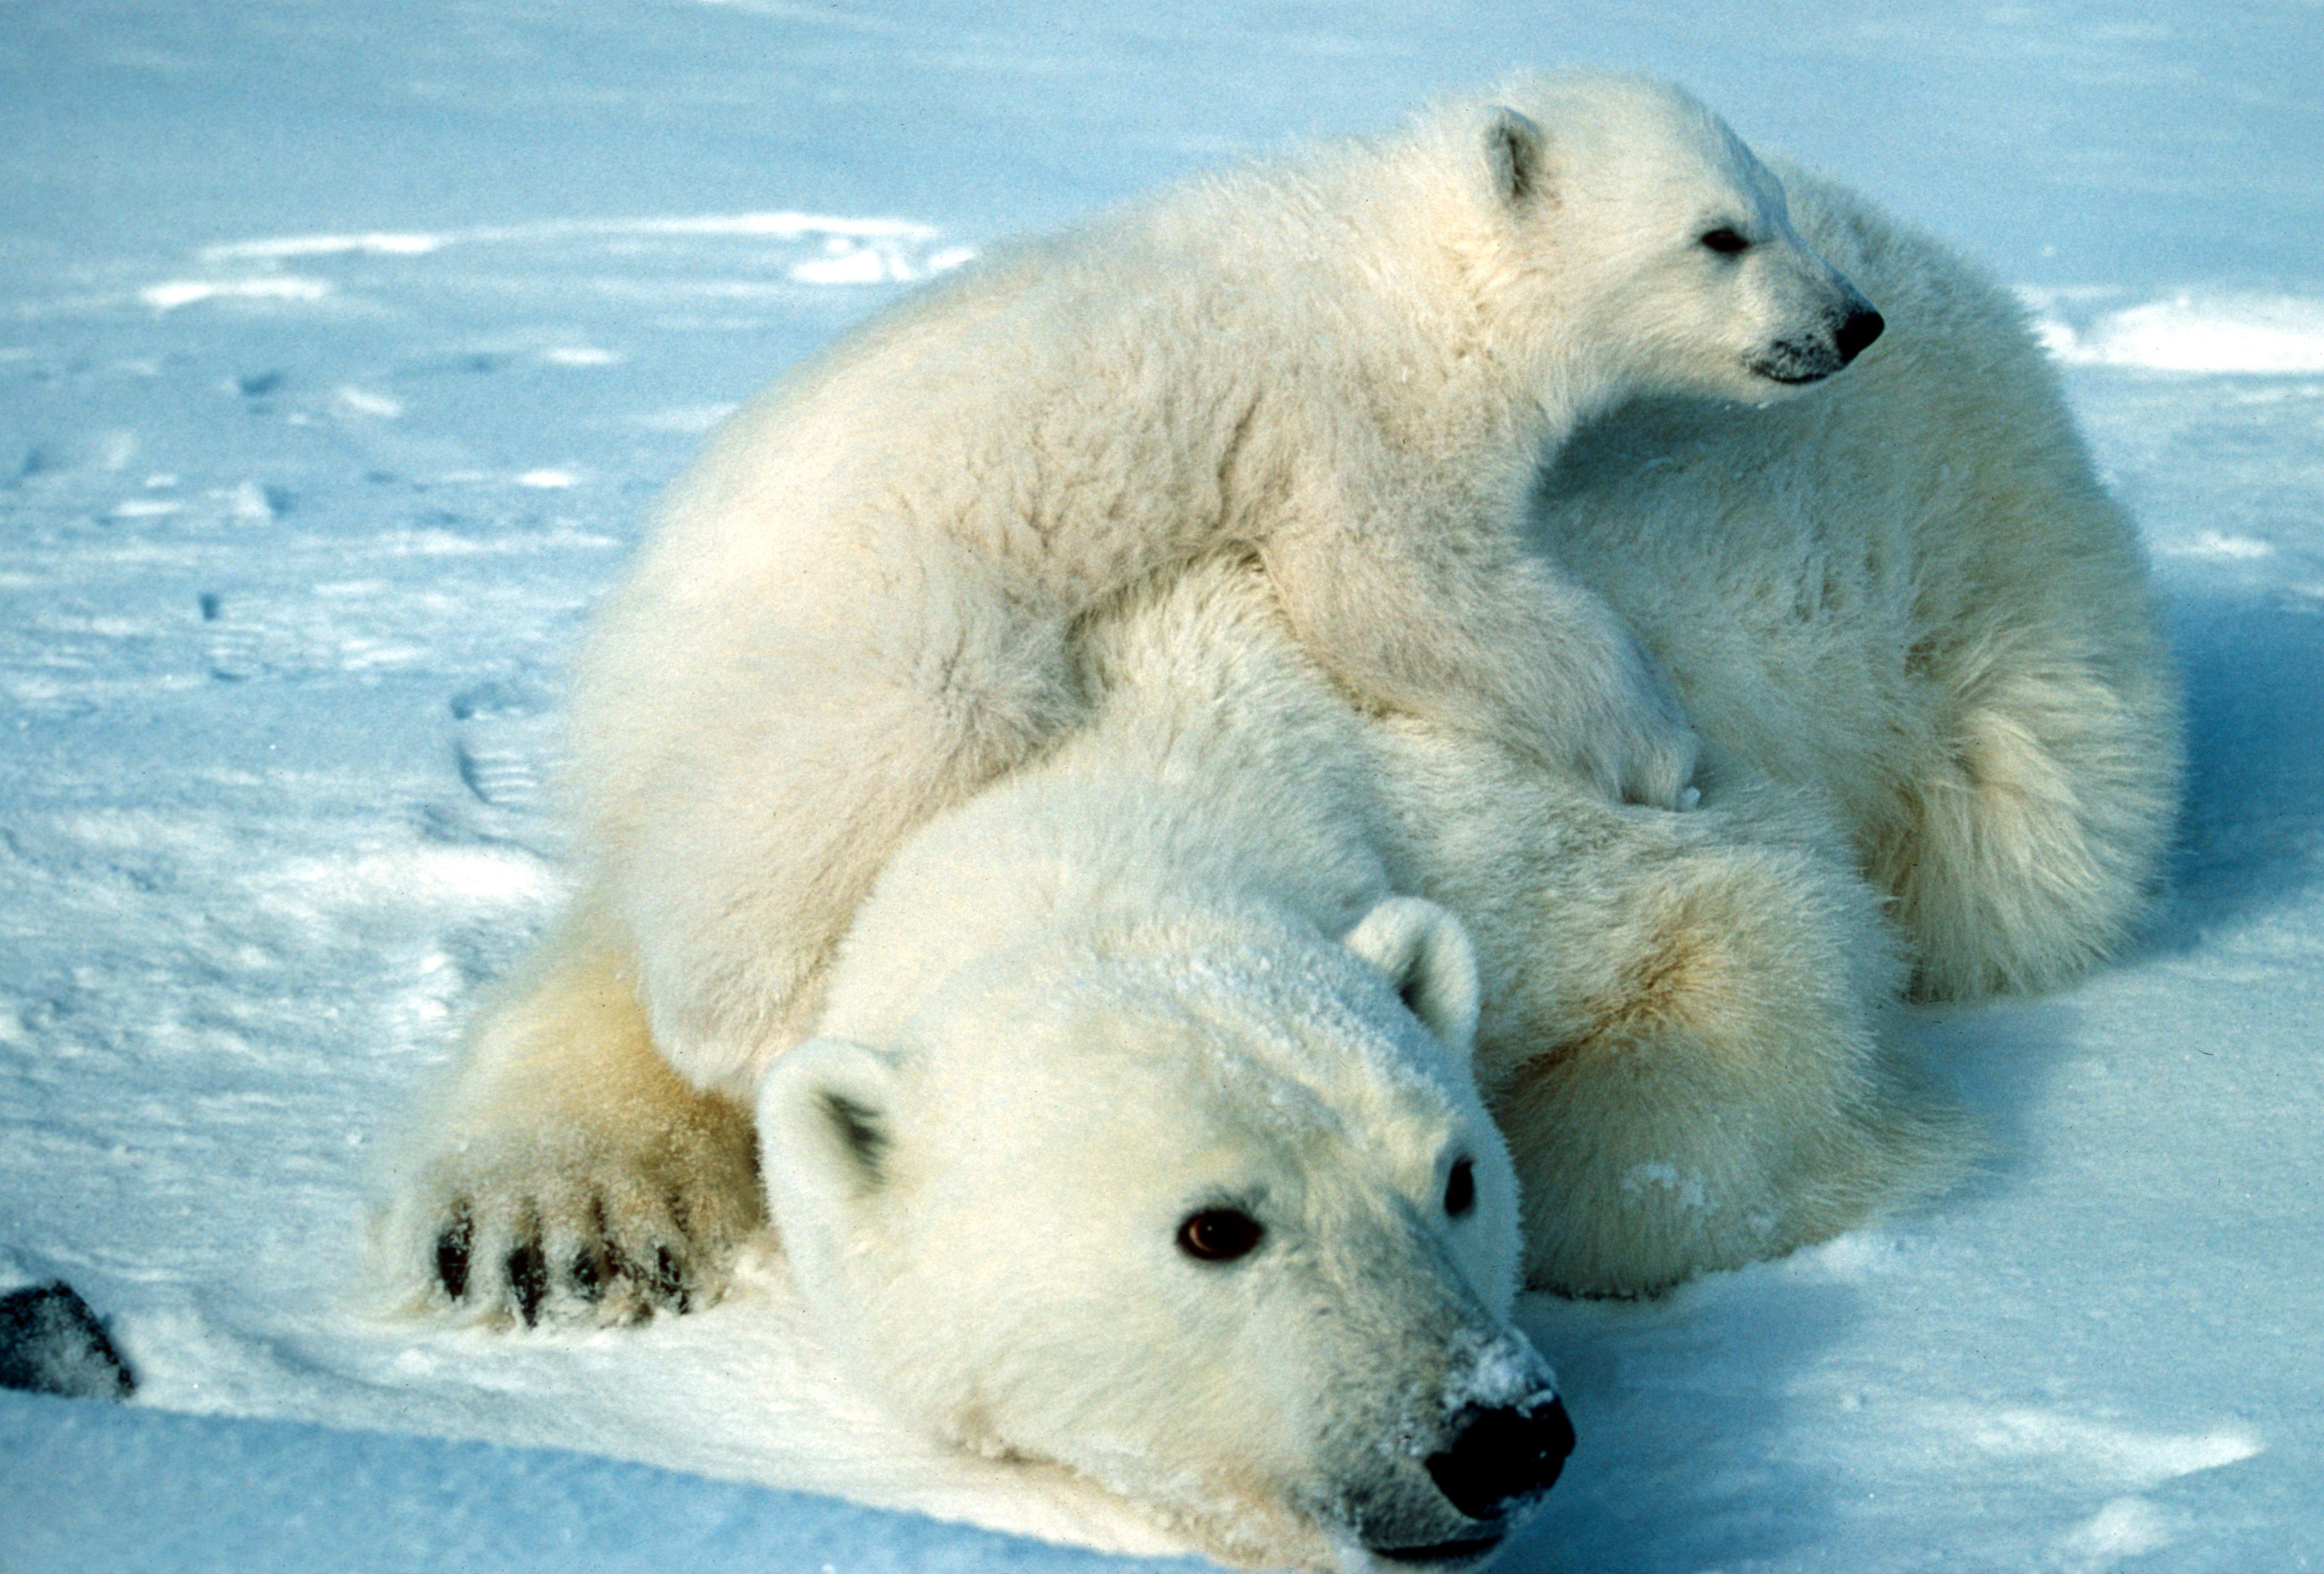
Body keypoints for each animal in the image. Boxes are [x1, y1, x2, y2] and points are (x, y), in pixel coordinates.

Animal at [566, 70, 1887, 1100]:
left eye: (1776, 205)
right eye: (1719, 234)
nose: (1854, 321)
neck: (1416, 264)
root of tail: (617, 658)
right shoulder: (1364, 407)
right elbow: (1394, 586)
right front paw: (1663, 751)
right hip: (868, 611)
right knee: (869, 752)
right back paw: (753, 1026)